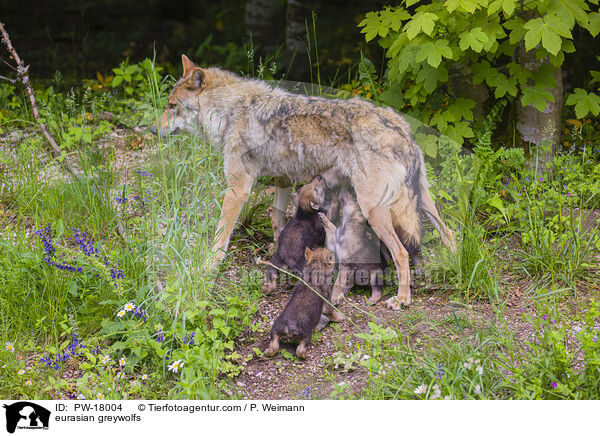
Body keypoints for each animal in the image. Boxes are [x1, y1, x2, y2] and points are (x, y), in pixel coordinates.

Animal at [152, 54, 458, 308]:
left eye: (172, 106)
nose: (153, 130)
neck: (230, 111)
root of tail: (401, 126)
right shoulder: (283, 180)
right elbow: (278, 221)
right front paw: (279, 252)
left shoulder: (238, 188)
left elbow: (220, 236)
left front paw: (207, 267)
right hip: (421, 201)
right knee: (449, 233)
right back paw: (454, 268)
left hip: (375, 210)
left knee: (402, 253)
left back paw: (402, 298)